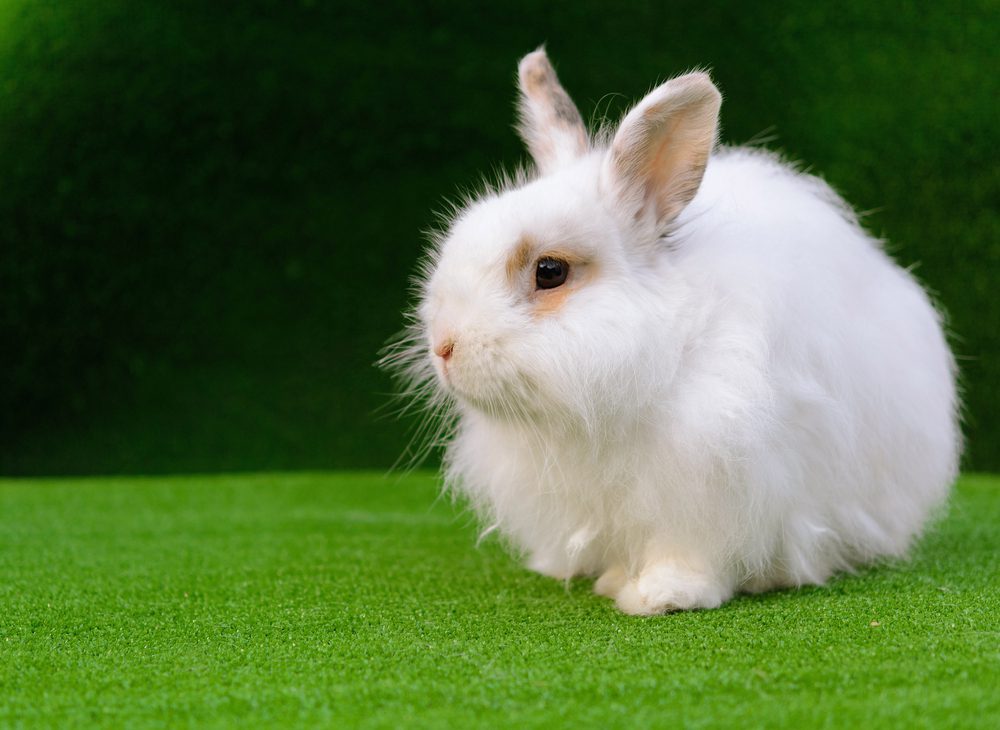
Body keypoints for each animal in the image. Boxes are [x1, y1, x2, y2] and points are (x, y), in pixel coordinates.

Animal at [384, 48, 961, 615]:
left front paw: (659, 596)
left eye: (550, 271)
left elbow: (687, 554)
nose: (444, 347)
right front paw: (598, 575)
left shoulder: (712, 486)